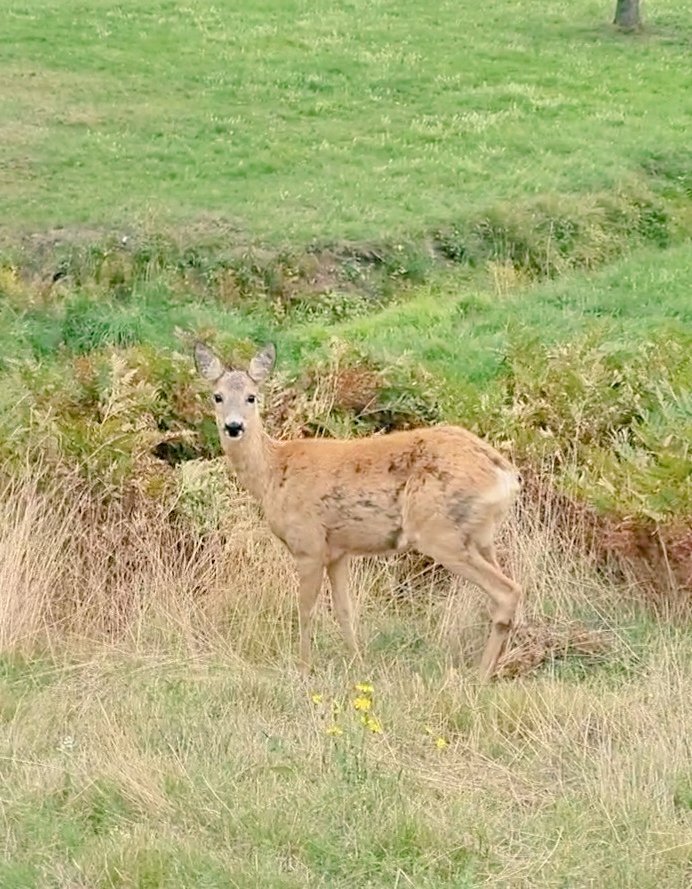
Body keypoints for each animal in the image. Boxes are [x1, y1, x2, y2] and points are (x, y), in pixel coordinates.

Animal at [194, 341, 522, 680]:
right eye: (217, 396)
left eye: (252, 396)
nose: (234, 426)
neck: (272, 472)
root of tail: (505, 474)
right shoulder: (338, 552)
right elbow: (345, 610)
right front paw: (357, 663)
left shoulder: (308, 544)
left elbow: (305, 610)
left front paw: (303, 669)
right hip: (481, 537)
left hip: (440, 532)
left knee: (508, 591)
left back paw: (481, 675)